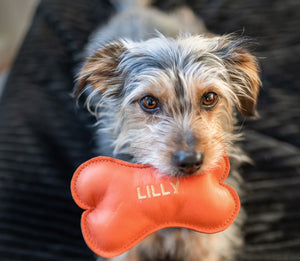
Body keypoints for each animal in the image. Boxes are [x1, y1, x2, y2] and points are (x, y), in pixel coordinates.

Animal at [74, 0, 260, 260]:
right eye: (149, 101)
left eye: (210, 97)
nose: (190, 161)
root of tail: (137, 10)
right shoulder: (124, 248)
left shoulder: (207, 246)